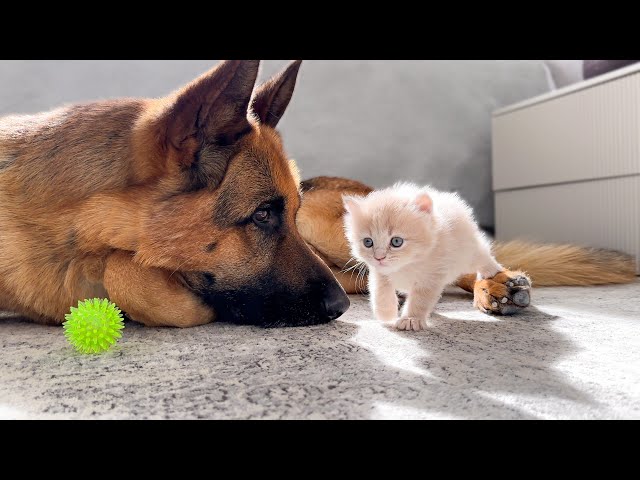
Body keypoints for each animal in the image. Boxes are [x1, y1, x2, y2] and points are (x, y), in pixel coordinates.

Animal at [342, 182, 502, 332]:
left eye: (396, 241)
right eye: (368, 242)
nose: (379, 257)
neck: (406, 265)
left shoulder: (430, 275)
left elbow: (420, 300)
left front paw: (411, 319)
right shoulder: (379, 272)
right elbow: (381, 291)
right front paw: (386, 314)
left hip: (465, 253)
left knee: (481, 253)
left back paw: (492, 271)